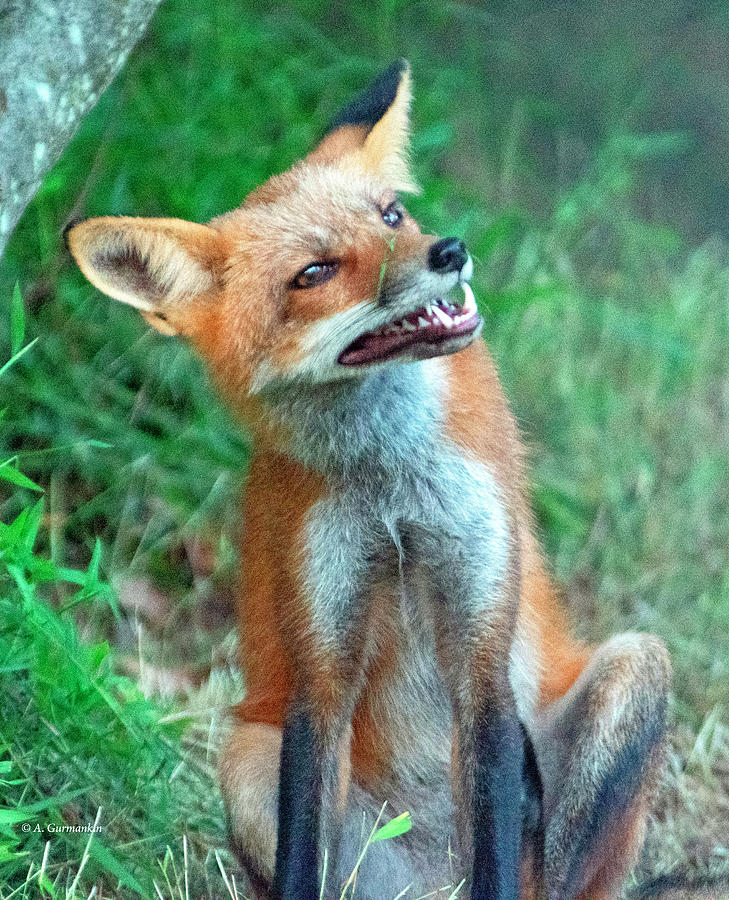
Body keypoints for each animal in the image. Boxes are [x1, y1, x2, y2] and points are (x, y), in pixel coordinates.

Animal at [68, 61, 672, 900]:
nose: (449, 249)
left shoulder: (482, 647)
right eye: (314, 273)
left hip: (633, 671)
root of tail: (433, 883)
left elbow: (495, 811)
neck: (390, 491)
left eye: (391, 216)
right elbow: (302, 850)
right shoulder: (319, 664)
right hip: (247, 759)